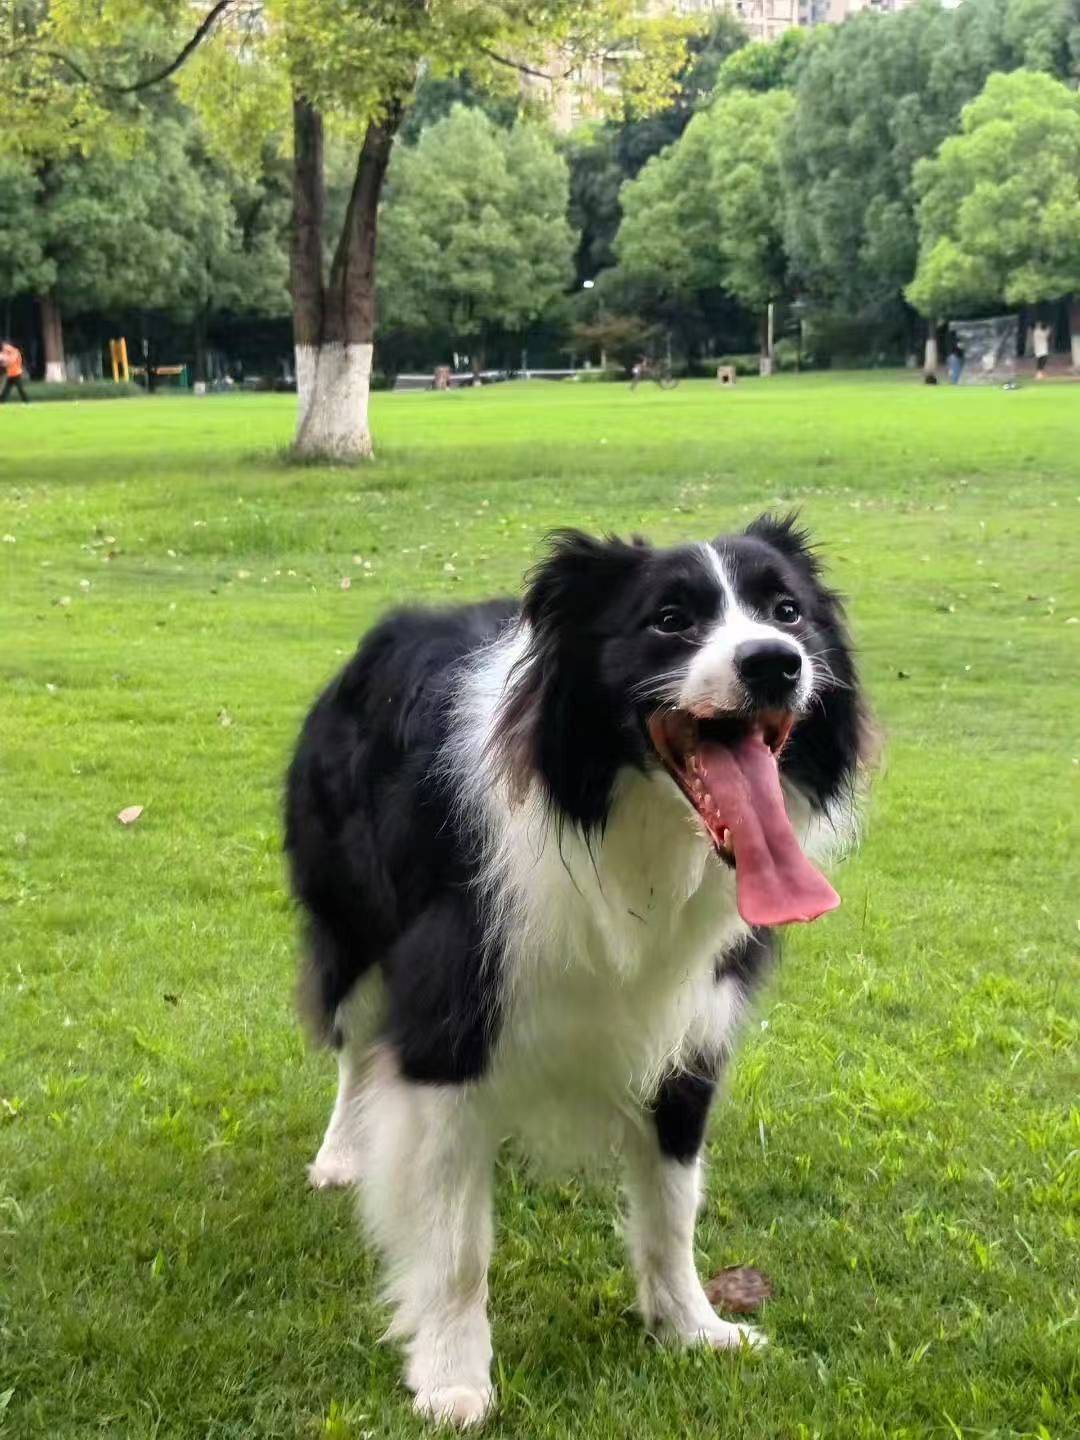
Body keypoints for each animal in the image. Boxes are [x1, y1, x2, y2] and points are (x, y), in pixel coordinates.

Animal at [285, 515, 869, 1426]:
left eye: (787, 611)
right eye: (670, 620)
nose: (775, 662)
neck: (625, 829)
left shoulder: (691, 1029)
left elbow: (672, 1207)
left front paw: (690, 1327)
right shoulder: (450, 1019)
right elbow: (456, 1241)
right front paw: (452, 1376)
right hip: (350, 918)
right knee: (354, 1043)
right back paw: (344, 1151)